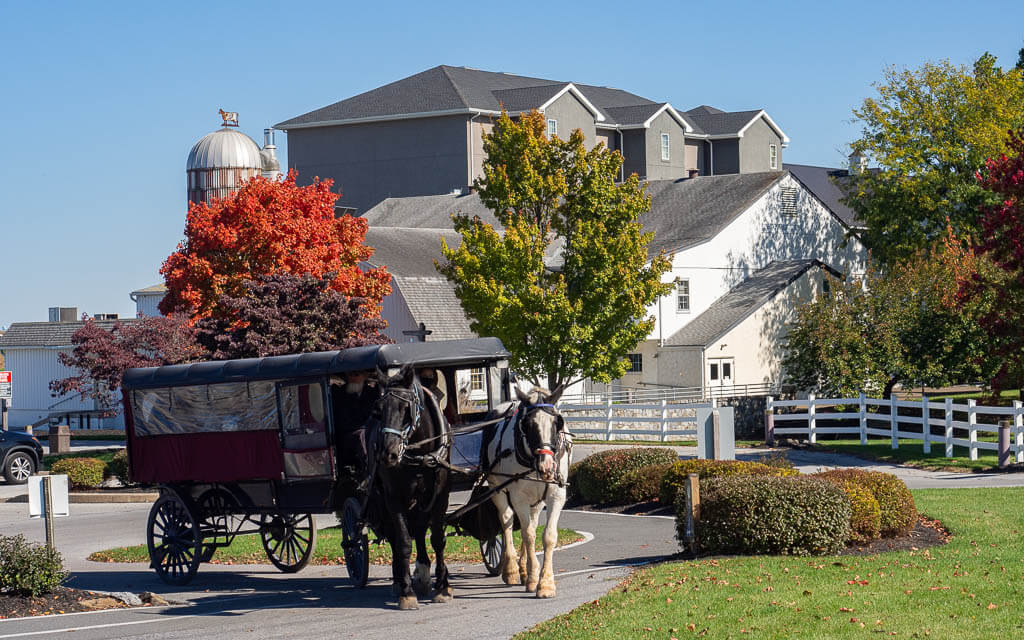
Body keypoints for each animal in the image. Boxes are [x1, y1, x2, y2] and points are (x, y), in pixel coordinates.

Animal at [366, 364, 450, 610]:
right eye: (378, 410)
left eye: (406, 409)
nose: (388, 454)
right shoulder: (394, 497)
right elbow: (403, 542)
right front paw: (406, 592)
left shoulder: (440, 496)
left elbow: (437, 538)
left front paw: (443, 587)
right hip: (382, 499)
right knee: (394, 535)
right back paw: (399, 581)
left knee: (420, 530)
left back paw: (423, 574)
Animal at [483, 387, 573, 598]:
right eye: (528, 425)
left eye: (557, 423)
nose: (547, 466)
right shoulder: (518, 497)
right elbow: (529, 535)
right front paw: (534, 579)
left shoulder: (556, 496)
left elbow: (547, 536)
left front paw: (546, 583)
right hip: (496, 488)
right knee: (507, 521)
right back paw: (511, 570)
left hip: (536, 500)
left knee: (530, 521)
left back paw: (523, 569)